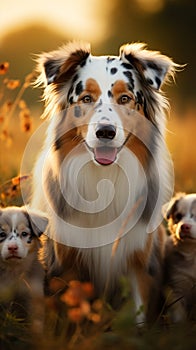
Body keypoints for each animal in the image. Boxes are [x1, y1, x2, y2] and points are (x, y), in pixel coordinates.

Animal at [31, 41, 178, 322]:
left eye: (125, 99)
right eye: (86, 98)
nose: (106, 132)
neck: (104, 177)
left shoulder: (137, 262)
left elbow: (138, 314)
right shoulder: (67, 263)